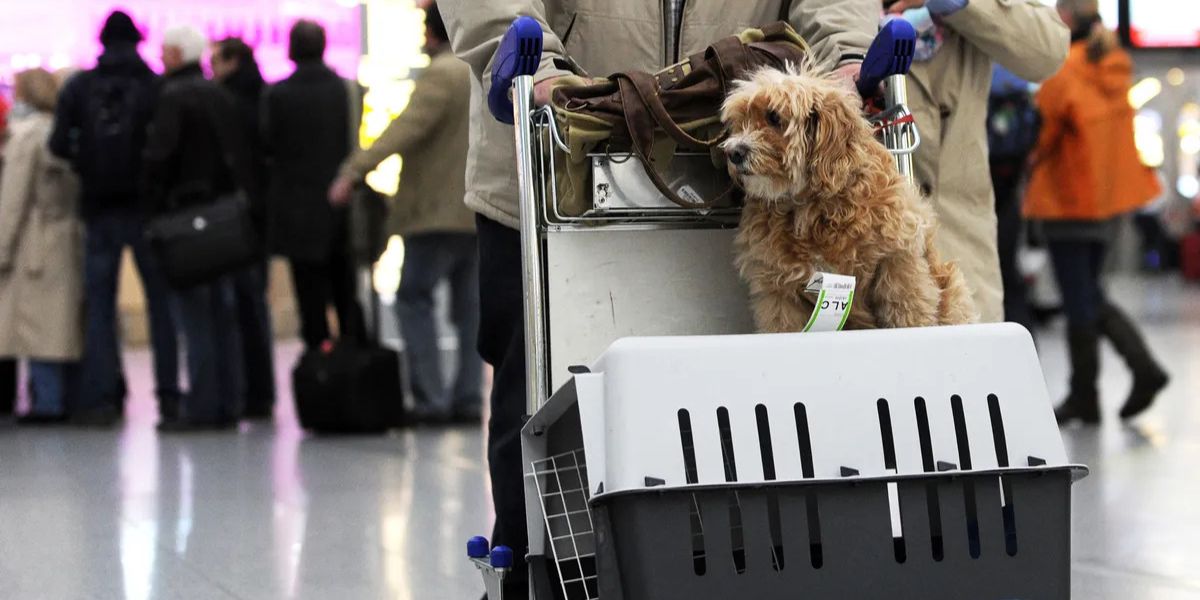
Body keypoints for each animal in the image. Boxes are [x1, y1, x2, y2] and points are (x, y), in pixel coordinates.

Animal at [720, 65, 974, 333]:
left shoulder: (899, 261)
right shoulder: (779, 291)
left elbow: (908, 310)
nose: (733, 152)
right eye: (740, 121)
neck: (810, 206)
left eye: (774, 117)